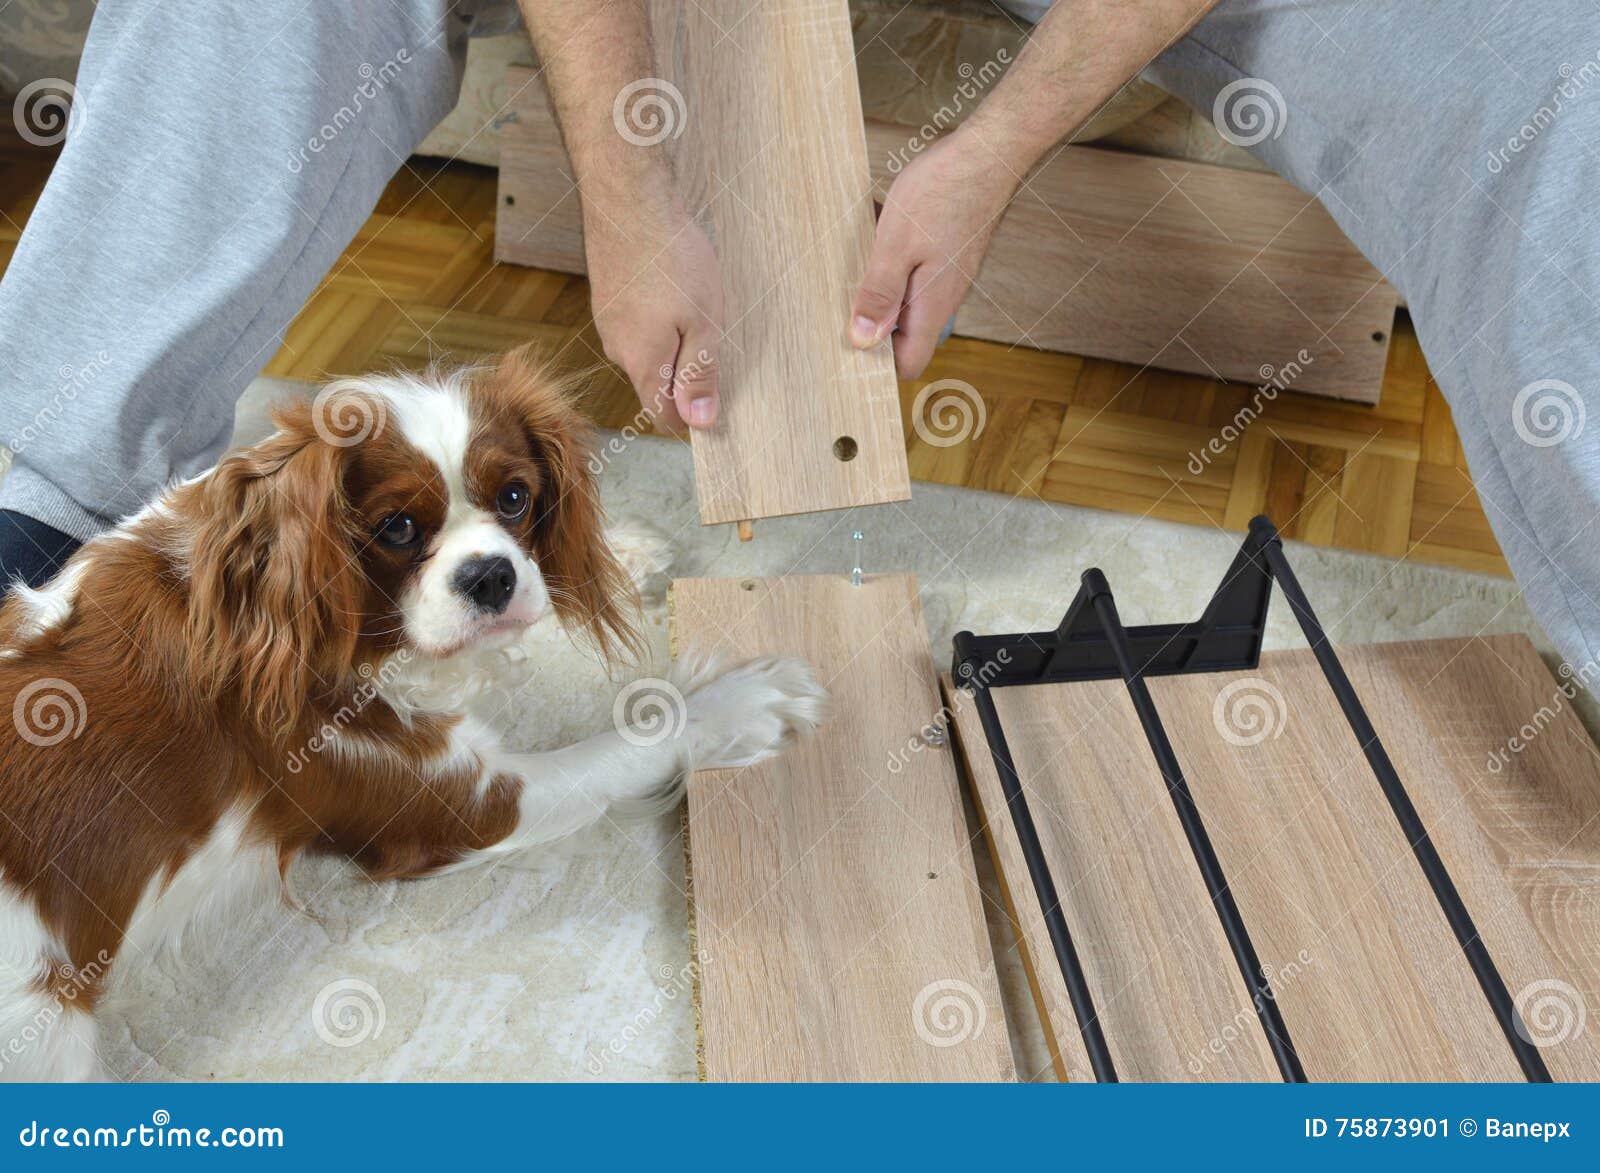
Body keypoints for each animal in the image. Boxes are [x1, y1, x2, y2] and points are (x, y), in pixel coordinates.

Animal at [0, 350, 825, 1081]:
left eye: (516, 498)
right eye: (396, 527)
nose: (490, 575)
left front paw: (616, 549)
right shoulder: (466, 801)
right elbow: (636, 739)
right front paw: (745, 701)